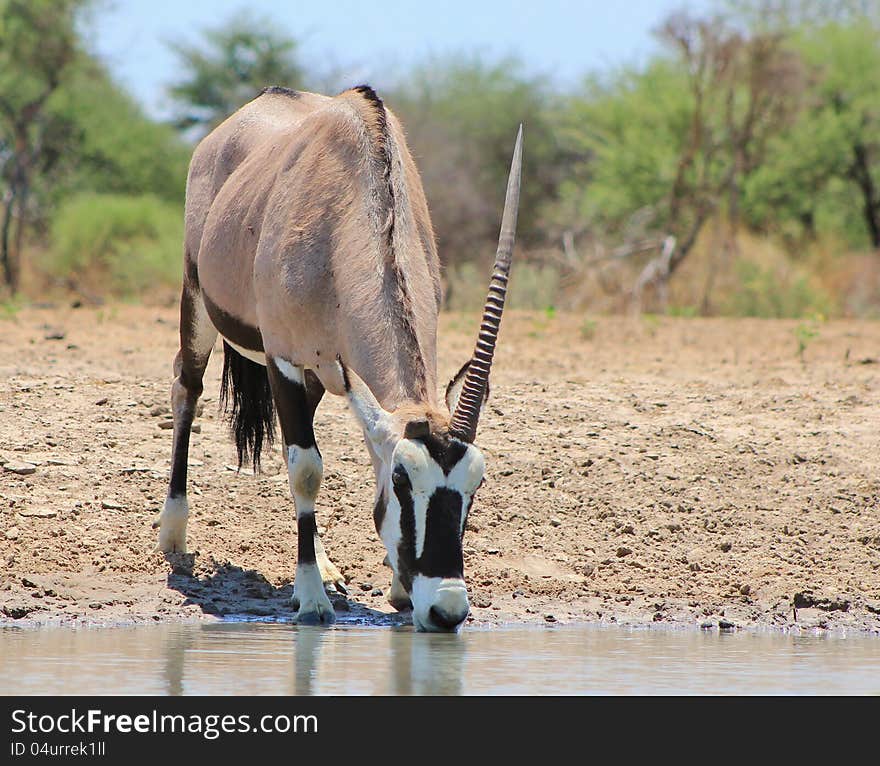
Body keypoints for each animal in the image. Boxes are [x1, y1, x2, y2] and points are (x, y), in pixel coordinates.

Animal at [154, 85, 520, 636]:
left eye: (474, 483)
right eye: (403, 479)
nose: (447, 610)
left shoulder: (348, 382)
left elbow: (343, 456)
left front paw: (395, 589)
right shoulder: (283, 360)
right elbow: (307, 469)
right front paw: (311, 600)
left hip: (316, 375)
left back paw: (327, 566)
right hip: (197, 296)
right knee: (187, 390)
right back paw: (174, 534)